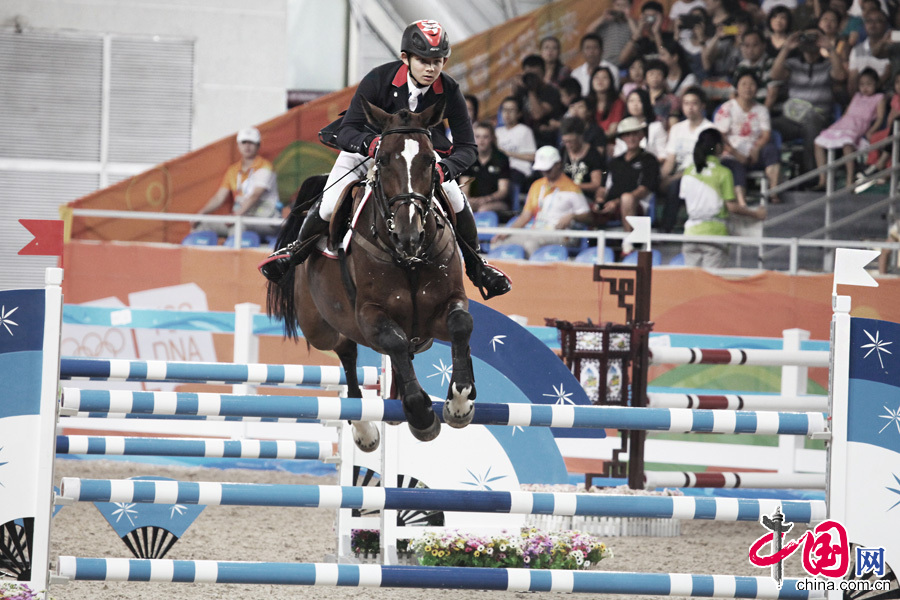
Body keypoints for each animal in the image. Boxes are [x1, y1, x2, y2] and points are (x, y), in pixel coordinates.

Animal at [268, 101, 478, 452]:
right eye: (383, 160)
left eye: (430, 160)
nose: (409, 234)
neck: (407, 257)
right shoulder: (369, 316)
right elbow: (393, 341)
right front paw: (422, 415)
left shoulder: (441, 312)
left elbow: (461, 325)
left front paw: (460, 402)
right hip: (320, 329)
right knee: (347, 354)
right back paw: (366, 430)